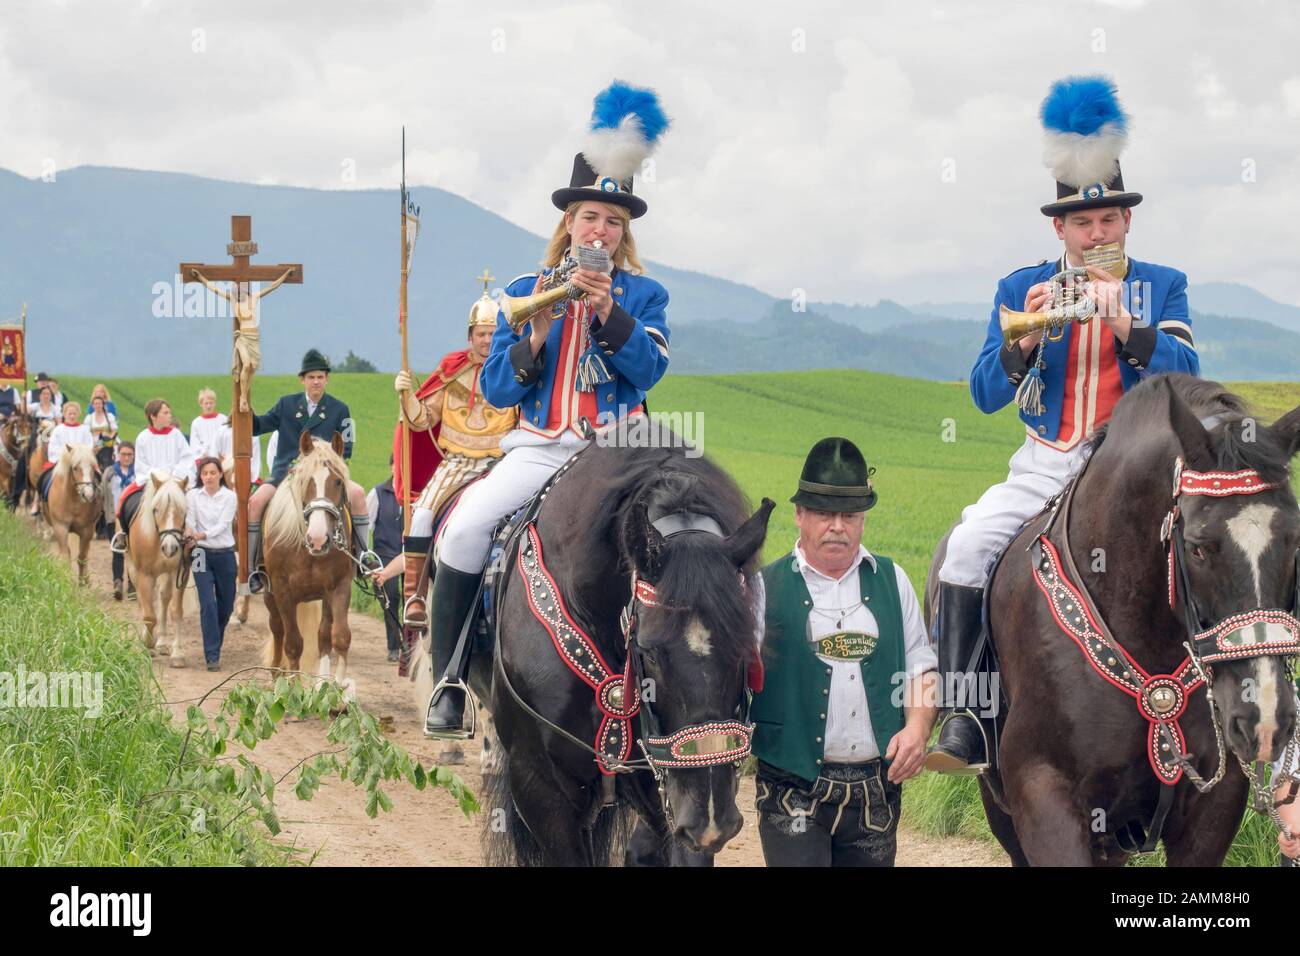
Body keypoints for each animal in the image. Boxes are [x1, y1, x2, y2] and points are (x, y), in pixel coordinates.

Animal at [40, 444, 100, 587]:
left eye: (93, 467)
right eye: (75, 468)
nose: (88, 495)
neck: (72, 499)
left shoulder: (87, 530)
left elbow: (82, 557)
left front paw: (83, 582)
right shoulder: (60, 527)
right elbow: (65, 555)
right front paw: (64, 580)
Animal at [126, 470, 189, 665]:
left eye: (183, 511)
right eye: (156, 509)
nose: (170, 548)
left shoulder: (179, 573)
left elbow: (176, 611)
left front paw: (178, 653)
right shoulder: (145, 575)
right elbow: (149, 616)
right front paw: (148, 645)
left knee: (163, 598)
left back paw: (161, 642)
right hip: (133, 569)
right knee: (142, 601)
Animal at [260, 429, 353, 691]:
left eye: (338, 481)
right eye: (306, 482)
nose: (319, 539)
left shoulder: (339, 586)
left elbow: (339, 637)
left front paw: (333, 689)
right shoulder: (283, 591)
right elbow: (293, 643)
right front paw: (293, 690)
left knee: (323, 636)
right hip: (270, 595)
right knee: (278, 629)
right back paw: (277, 673)